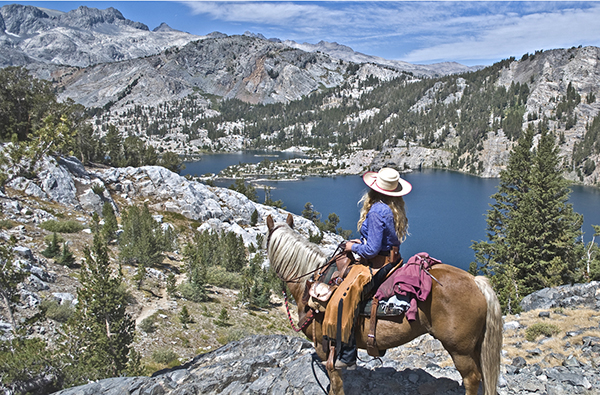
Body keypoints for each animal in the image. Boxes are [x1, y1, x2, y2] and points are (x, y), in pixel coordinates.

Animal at [268, 215, 502, 394]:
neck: (310, 281)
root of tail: (475, 281)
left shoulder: (326, 348)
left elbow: (336, 384)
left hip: (459, 350)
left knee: (472, 379)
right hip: (474, 347)